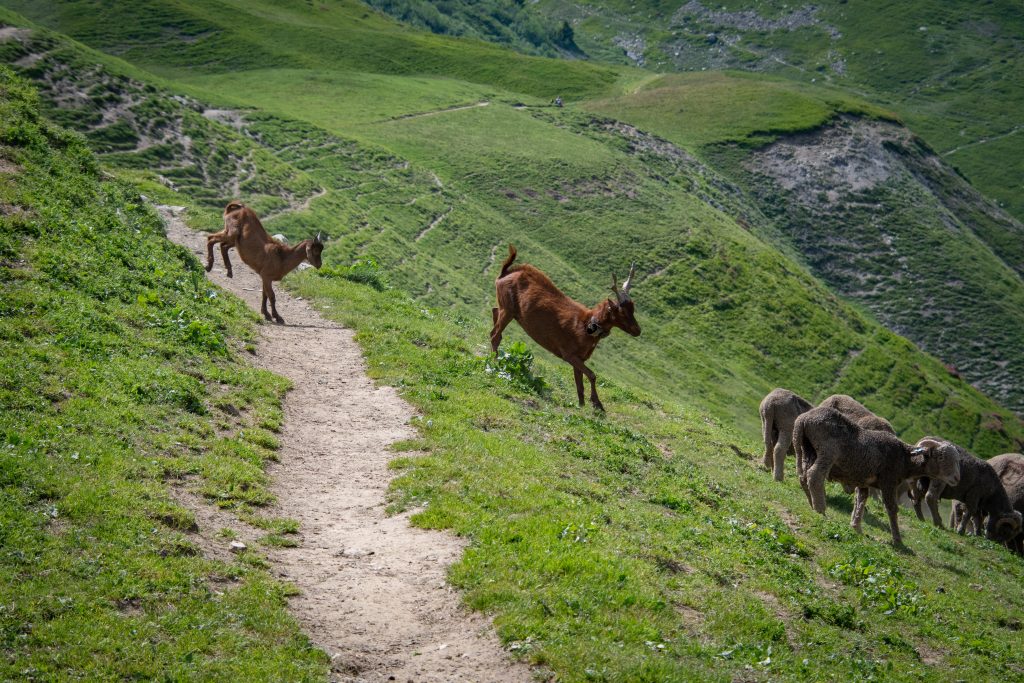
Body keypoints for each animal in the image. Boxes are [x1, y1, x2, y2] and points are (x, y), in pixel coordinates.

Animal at [490, 245, 640, 411]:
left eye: (633, 308)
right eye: (621, 312)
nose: (637, 330)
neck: (586, 325)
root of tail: (504, 272)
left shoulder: (579, 358)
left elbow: (580, 384)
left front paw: (581, 405)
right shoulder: (569, 354)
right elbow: (592, 375)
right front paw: (597, 404)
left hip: (505, 307)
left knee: (495, 316)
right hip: (508, 309)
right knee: (495, 335)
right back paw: (495, 362)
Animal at [793, 406, 960, 544]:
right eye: (941, 457)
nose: (956, 479)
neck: (904, 458)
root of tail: (804, 419)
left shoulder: (863, 481)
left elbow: (860, 500)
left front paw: (856, 526)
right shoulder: (888, 482)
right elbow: (892, 508)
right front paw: (898, 540)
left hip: (804, 448)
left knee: (803, 476)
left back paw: (811, 502)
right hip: (827, 452)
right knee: (814, 475)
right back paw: (820, 509)